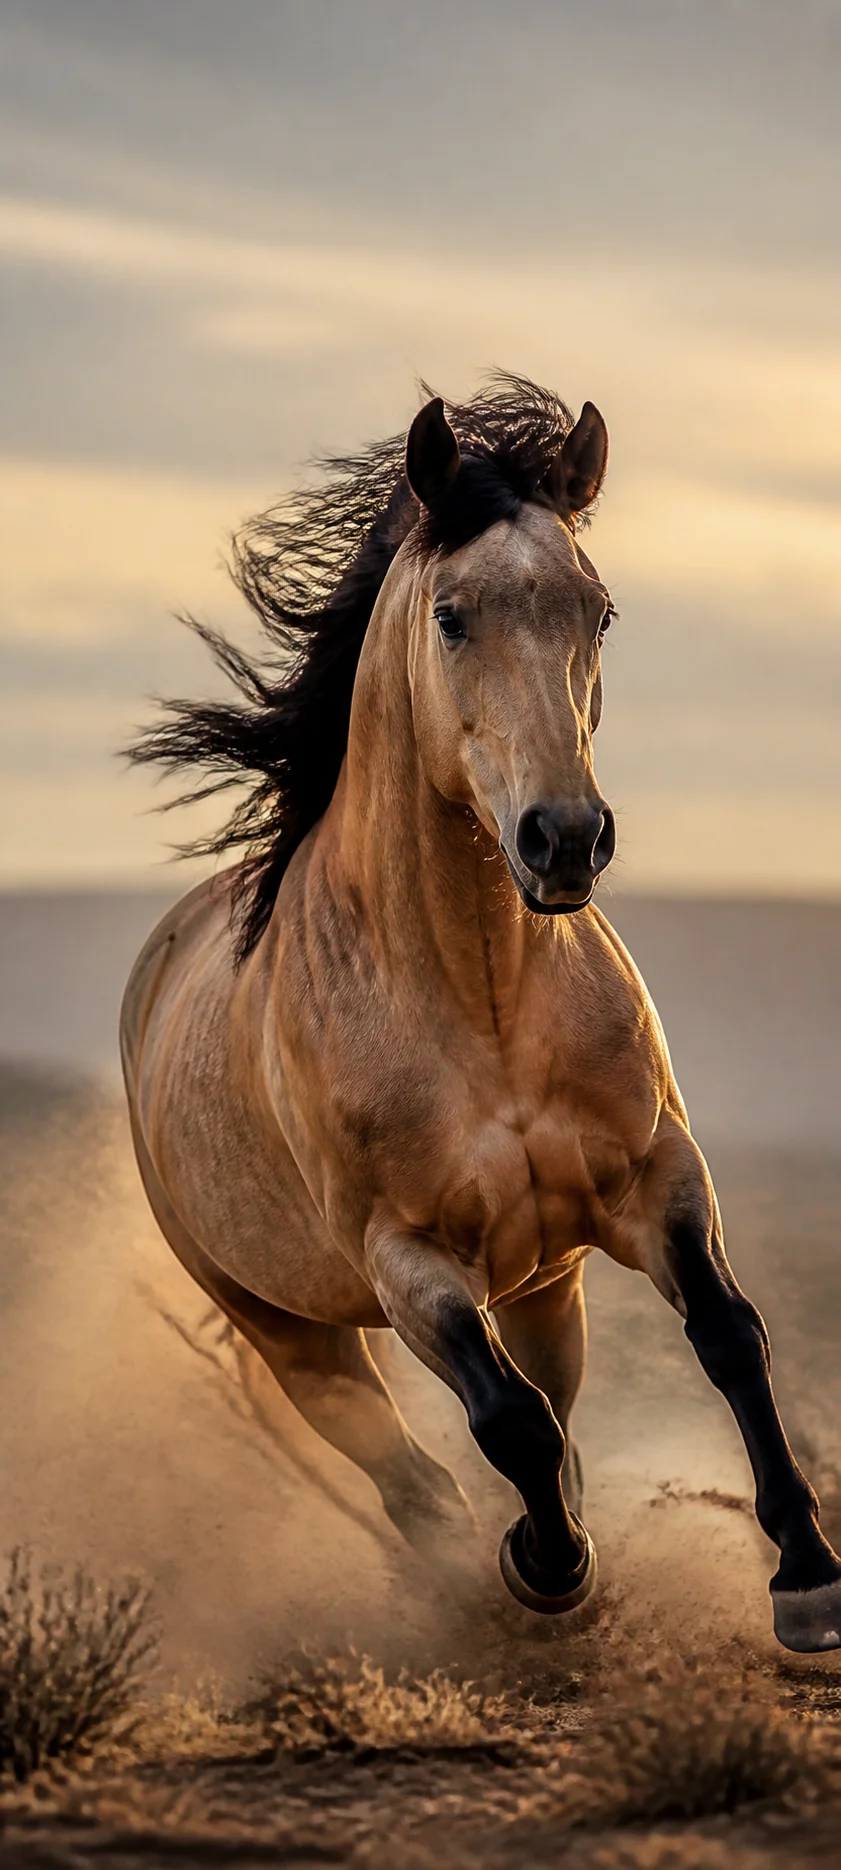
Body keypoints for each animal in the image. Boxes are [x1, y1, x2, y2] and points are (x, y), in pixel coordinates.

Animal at [121, 374, 841, 1652]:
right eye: (452, 616)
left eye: (598, 611)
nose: (564, 839)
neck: (485, 1002)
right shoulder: (406, 1260)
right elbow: (507, 1421)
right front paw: (545, 1567)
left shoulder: (655, 1175)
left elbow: (729, 1334)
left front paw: (805, 1574)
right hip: (293, 1333)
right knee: (410, 1474)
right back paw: (475, 1577)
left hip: (547, 1281)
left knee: (548, 1402)